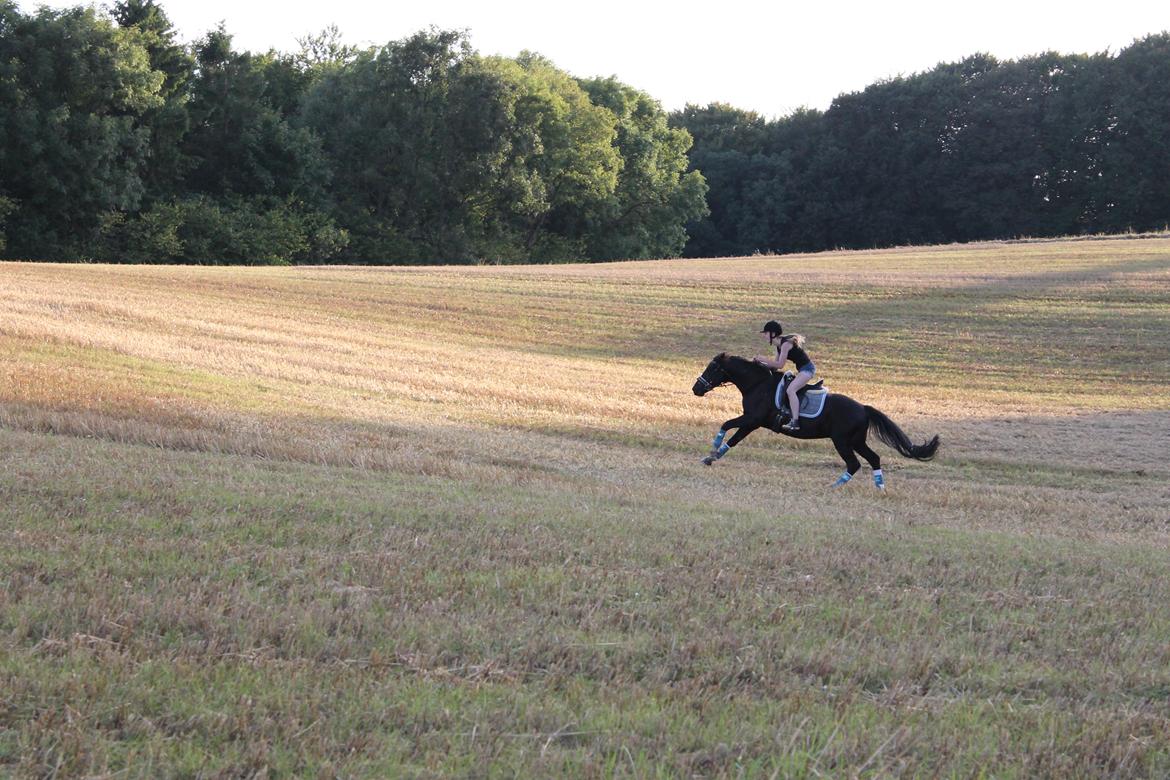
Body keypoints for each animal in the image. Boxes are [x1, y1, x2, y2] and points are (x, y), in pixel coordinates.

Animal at [692, 353, 940, 488]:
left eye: (712, 367)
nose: (696, 389)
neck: (757, 384)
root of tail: (863, 408)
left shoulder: (752, 419)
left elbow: (726, 425)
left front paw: (712, 450)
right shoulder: (753, 423)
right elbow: (733, 440)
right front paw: (711, 458)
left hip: (842, 441)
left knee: (854, 464)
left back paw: (835, 486)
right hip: (856, 441)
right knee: (874, 458)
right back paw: (879, 487)